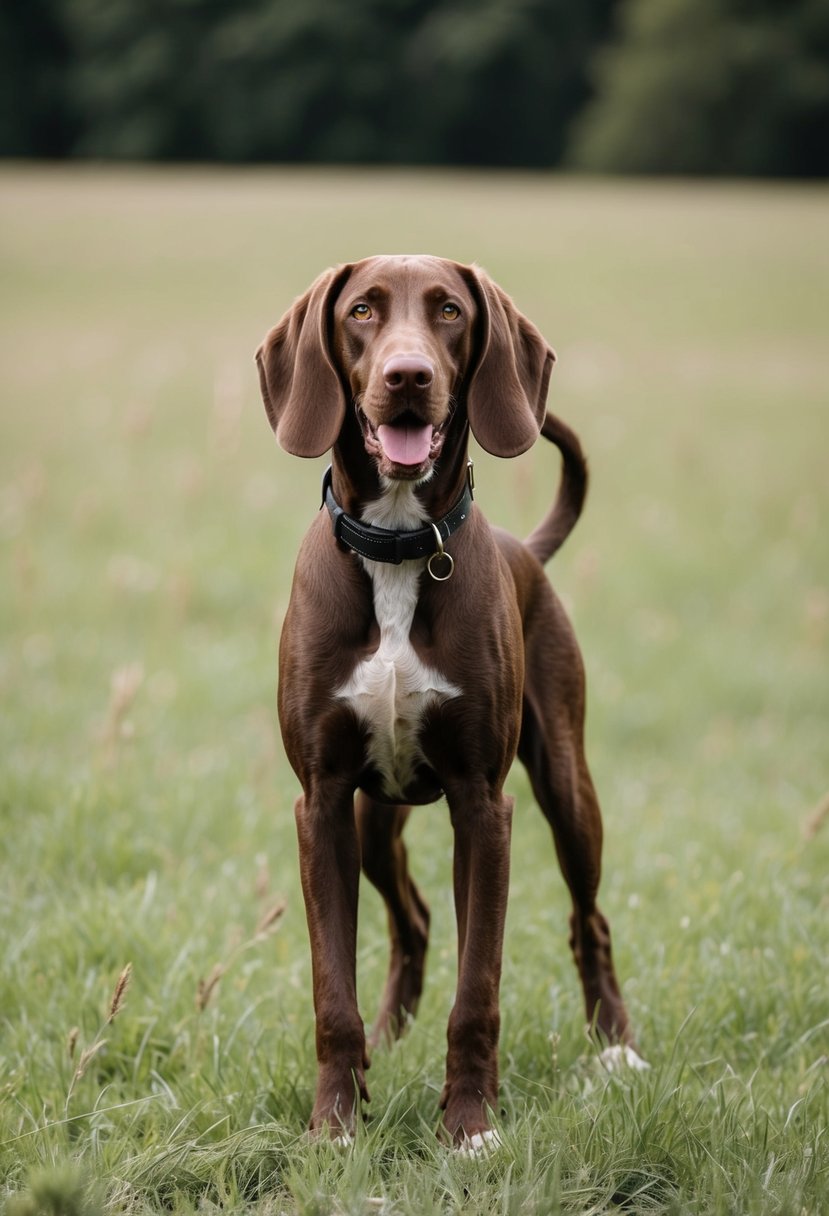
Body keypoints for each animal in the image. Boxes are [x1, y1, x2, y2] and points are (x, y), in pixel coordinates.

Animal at [255, 256, 641, 1147]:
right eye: (362, 311)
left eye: (450, 312)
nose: (408, 377)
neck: (399, 548)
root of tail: (524, 550)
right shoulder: (321, 803)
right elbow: (333, 993)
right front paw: (335, 1126)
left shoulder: (483, 805)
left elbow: (479, 991)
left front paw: (470, 1128)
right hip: (371, 821)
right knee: (413, 920)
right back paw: (389, 1038)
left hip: (566, 787)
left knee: (589, 920)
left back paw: (616, 1048)